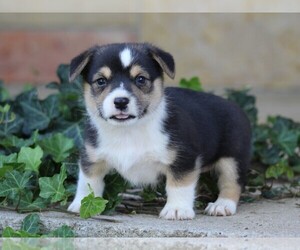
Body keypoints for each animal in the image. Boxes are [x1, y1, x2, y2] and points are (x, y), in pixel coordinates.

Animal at [67, 42, 251, 219]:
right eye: (101, 81)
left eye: (141, 79)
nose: (120, 101)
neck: (128, 131)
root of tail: (236, 107)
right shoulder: (91, 158)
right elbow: (88, 182)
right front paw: (82, 203)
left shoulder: (183, 160)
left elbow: (179, 185)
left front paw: (177, 209)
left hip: (232, 158)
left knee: (232, 183)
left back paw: (221, 205)